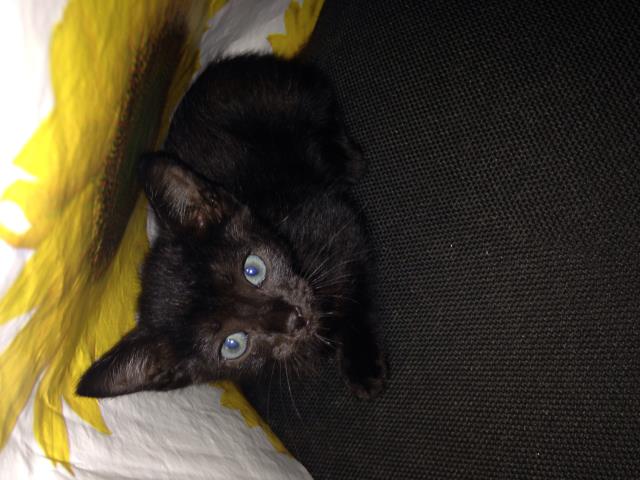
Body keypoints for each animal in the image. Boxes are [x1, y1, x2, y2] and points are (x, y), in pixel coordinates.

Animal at [77, 54, 386, 400]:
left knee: (323, 104)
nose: (294, 320)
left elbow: (356, 292)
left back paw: (349, 159)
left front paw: (361, 363)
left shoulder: (335, 221)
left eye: (253, 269)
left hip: (286, 95)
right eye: (233, 344)